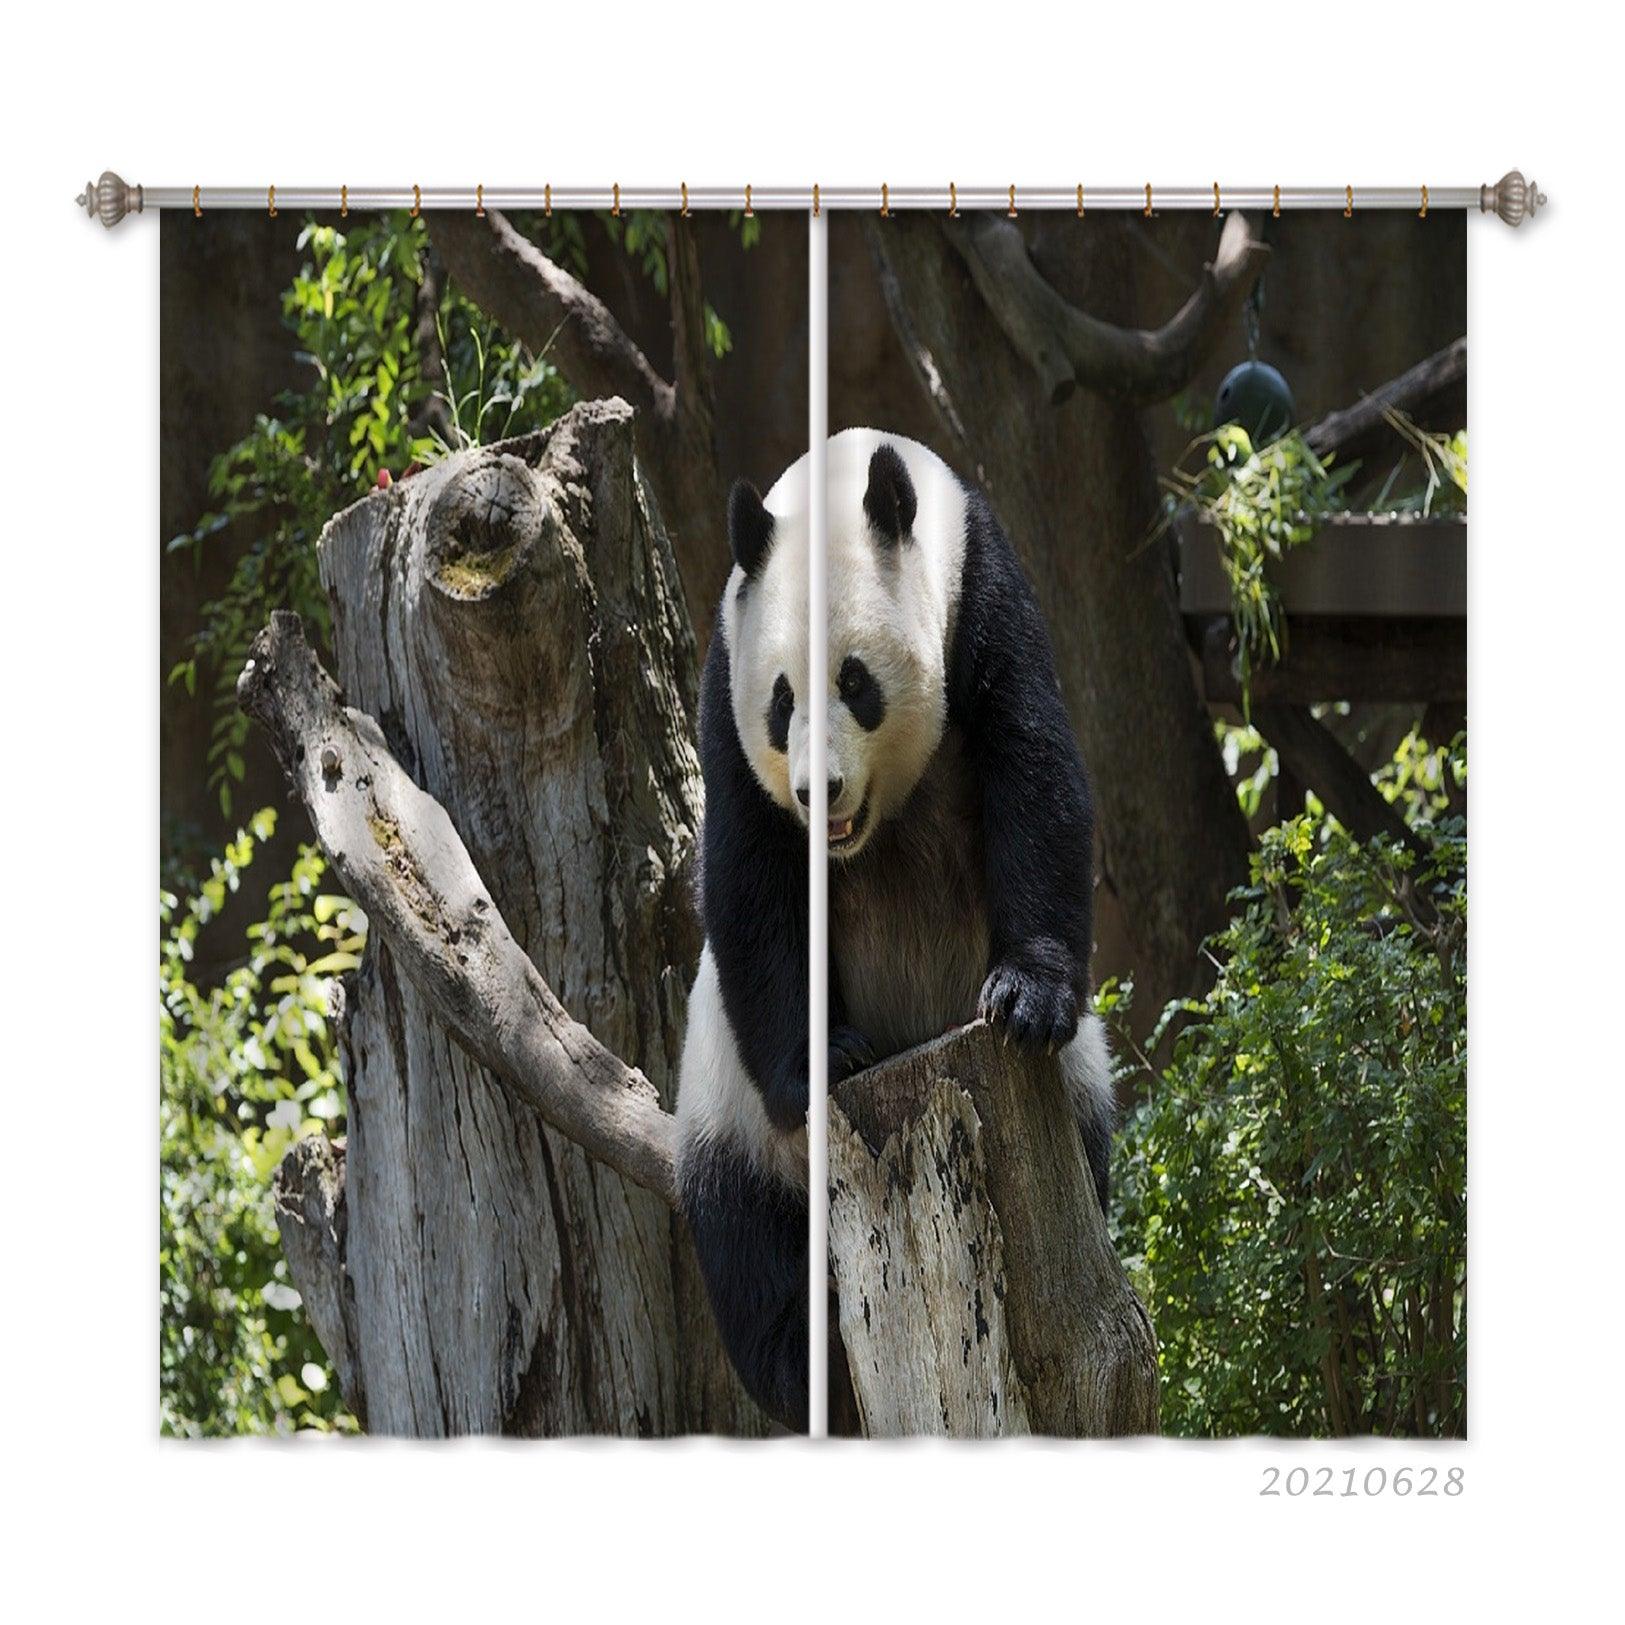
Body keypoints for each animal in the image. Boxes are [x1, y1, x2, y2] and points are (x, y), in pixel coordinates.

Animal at [675, 428, 1114, 1433]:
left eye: (855, 682)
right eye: (781, 701)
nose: (819, 791)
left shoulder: (980, 589)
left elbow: (1032, 766)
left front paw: (1025, 998)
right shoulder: (726, 664)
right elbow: (752, 875)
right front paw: (823, 1061)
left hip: (1079, 1086)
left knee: (1091, 1134)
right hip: (727, 1111)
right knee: (748, 1244)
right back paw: (811, 1358)